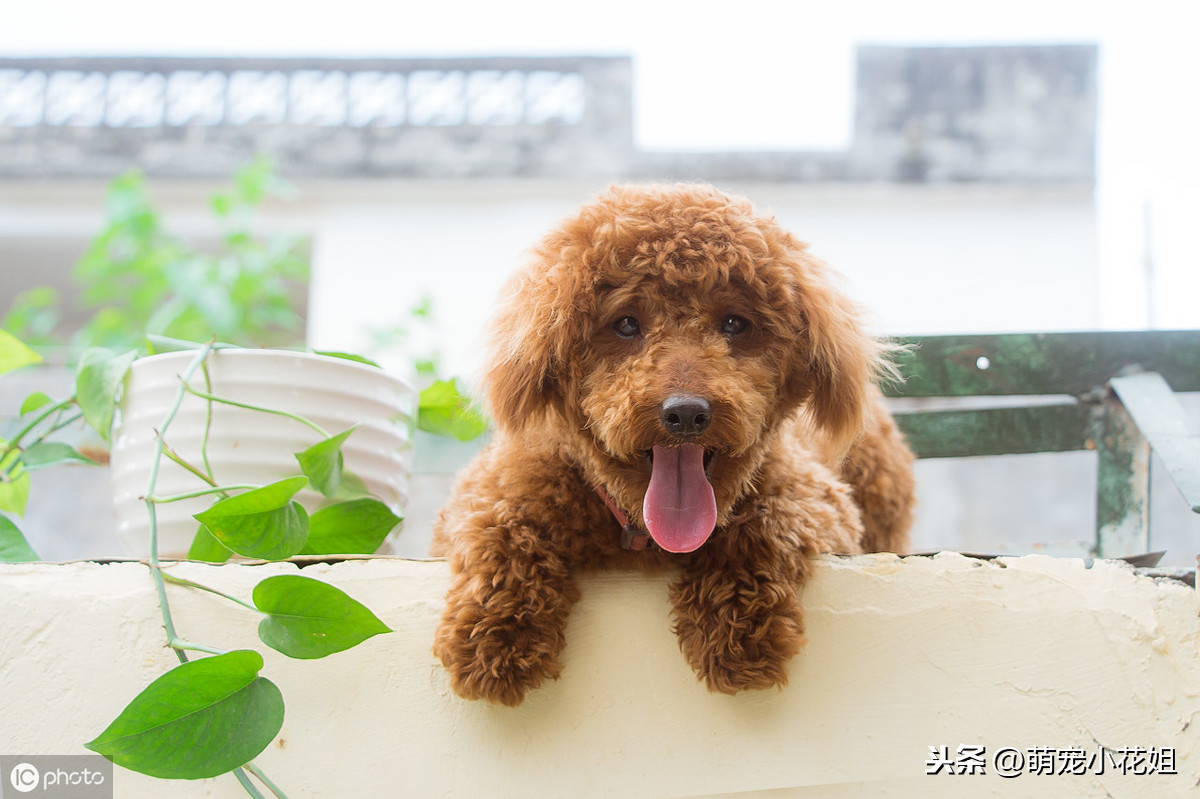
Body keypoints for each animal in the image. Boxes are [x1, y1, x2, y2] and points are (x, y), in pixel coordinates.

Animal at [436, 182, 912, 705]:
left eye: (734, 323)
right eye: (626, 324)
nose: (686, 413)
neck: (642, 532)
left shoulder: (816, 498)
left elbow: (767, 519)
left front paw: (738, 634)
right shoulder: (494, 486)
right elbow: (500, 525)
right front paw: (494, 637)